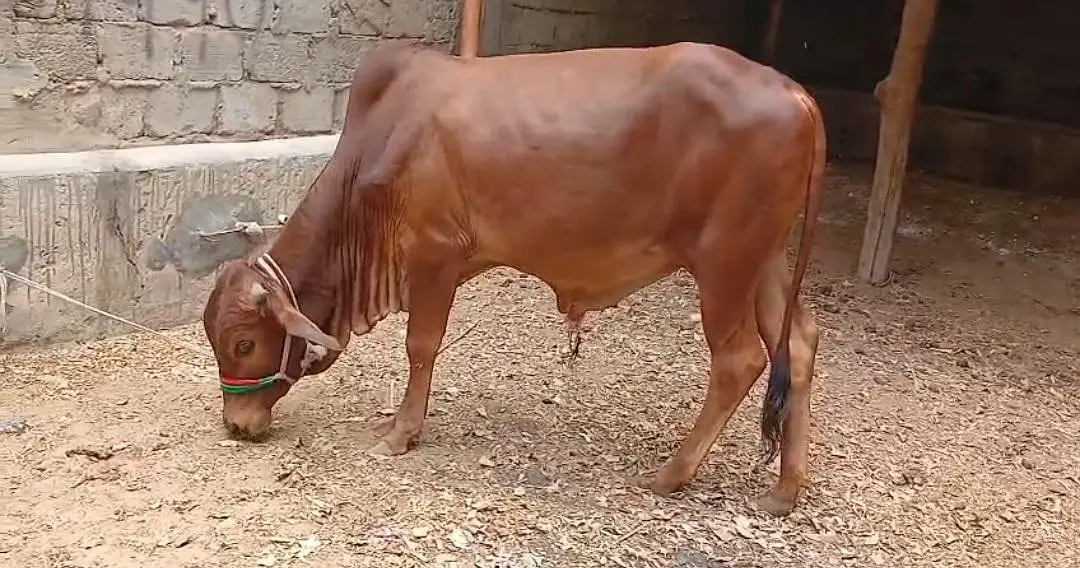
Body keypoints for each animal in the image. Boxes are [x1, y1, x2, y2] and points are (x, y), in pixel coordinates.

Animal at [201, 40, 823, 517]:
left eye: (244, 343)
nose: (235, 425)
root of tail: (795, 92)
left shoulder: (434, 254)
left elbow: (420, 345)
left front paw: (401, 433)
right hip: (765, 261)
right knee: (798, 343)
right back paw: (784, 491)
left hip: (724, 264)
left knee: (740, 360)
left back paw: (671, 473)